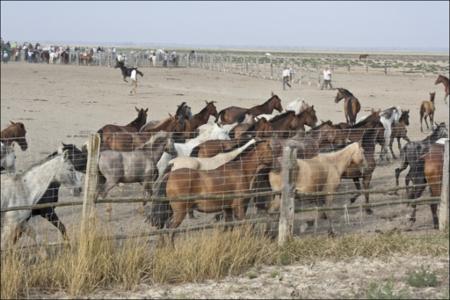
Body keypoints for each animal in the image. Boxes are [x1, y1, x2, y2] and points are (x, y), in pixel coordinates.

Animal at [149, 139, 280, 232]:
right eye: (272, 152)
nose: (278, 167)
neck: (241, 170)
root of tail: (171, 170)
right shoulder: (239, 207)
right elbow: (246, 226)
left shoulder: (228, 209)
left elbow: (229, 227)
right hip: (179, 211)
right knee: (170, 229)